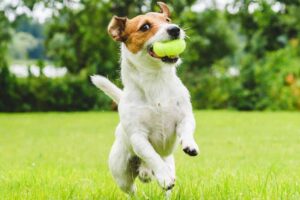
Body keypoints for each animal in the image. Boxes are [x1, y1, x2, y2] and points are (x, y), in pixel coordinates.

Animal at [91, 1, 199, 195]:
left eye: (167, 20)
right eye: (145, 27)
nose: (175, 29)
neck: (156, 81)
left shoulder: (184, 117)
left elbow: (187, 129)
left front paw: (190, 145)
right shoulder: (138, 137)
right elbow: (151, 155)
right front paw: (163, 176)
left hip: (169, 163)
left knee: (166, 188)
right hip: (121, 174)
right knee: (132, 190)